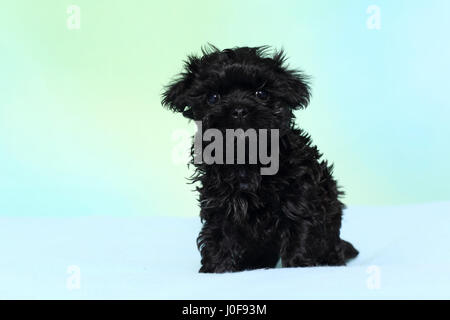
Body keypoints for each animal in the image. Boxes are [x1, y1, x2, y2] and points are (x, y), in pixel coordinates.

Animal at [162, 45, 358, 272]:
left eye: (262, 94)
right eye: (213, 98)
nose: (239, 109)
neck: (248, 157)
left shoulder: (300, 195)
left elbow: (300, 231)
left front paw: (299, 266)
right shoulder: (218, 202)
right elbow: (217, 235)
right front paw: (215, 268)